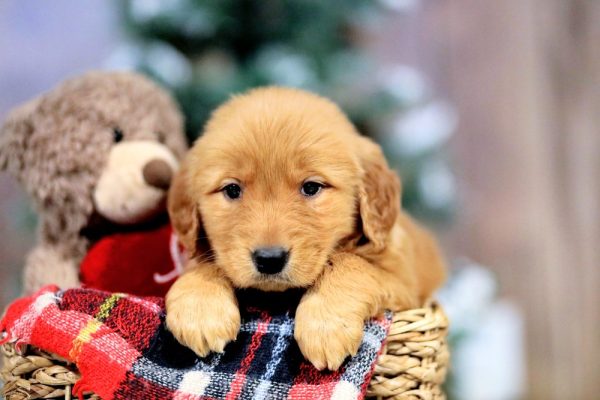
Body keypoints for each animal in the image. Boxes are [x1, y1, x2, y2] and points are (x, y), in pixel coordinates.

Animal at [166, 86, 442, 370]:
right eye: (232, 189)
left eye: (311, 187)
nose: (270, 259)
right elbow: (206, 264)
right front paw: (199, 309)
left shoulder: (404, 282)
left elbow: (352, 263)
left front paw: (326, 326)